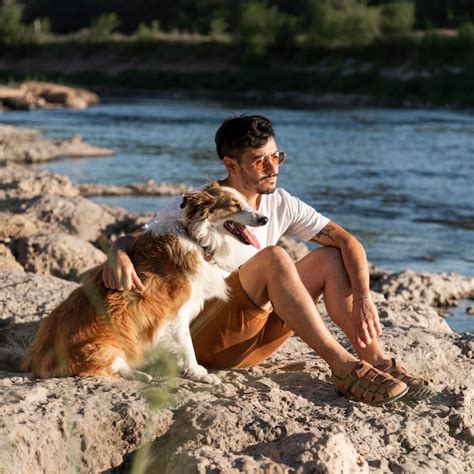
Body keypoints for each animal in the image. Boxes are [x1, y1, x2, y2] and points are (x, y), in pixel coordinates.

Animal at [20, 182, 268, 386]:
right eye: (234, 205)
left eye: (247, 202)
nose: (264, 219)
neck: (197, 238)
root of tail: (36, 360)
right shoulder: (175, 311)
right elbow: (187, 344)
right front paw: (198, 372)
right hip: (107, 344)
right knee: (104, 369)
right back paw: (140, 374)